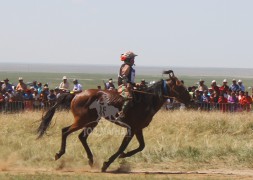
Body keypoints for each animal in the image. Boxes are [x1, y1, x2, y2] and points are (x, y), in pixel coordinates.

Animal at [37, 70, 192, 172]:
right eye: (180, 86)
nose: (190, 99)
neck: (146, 100)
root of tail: (76, 94)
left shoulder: (137, 129)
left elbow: (141, 146)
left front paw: (122, 156)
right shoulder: (131, 129)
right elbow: (122, 147)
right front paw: (106, 164)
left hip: (92, 122)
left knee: (82, 137)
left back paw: (91, 160)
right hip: (83, 120)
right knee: (65, 131)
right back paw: (59, 154)